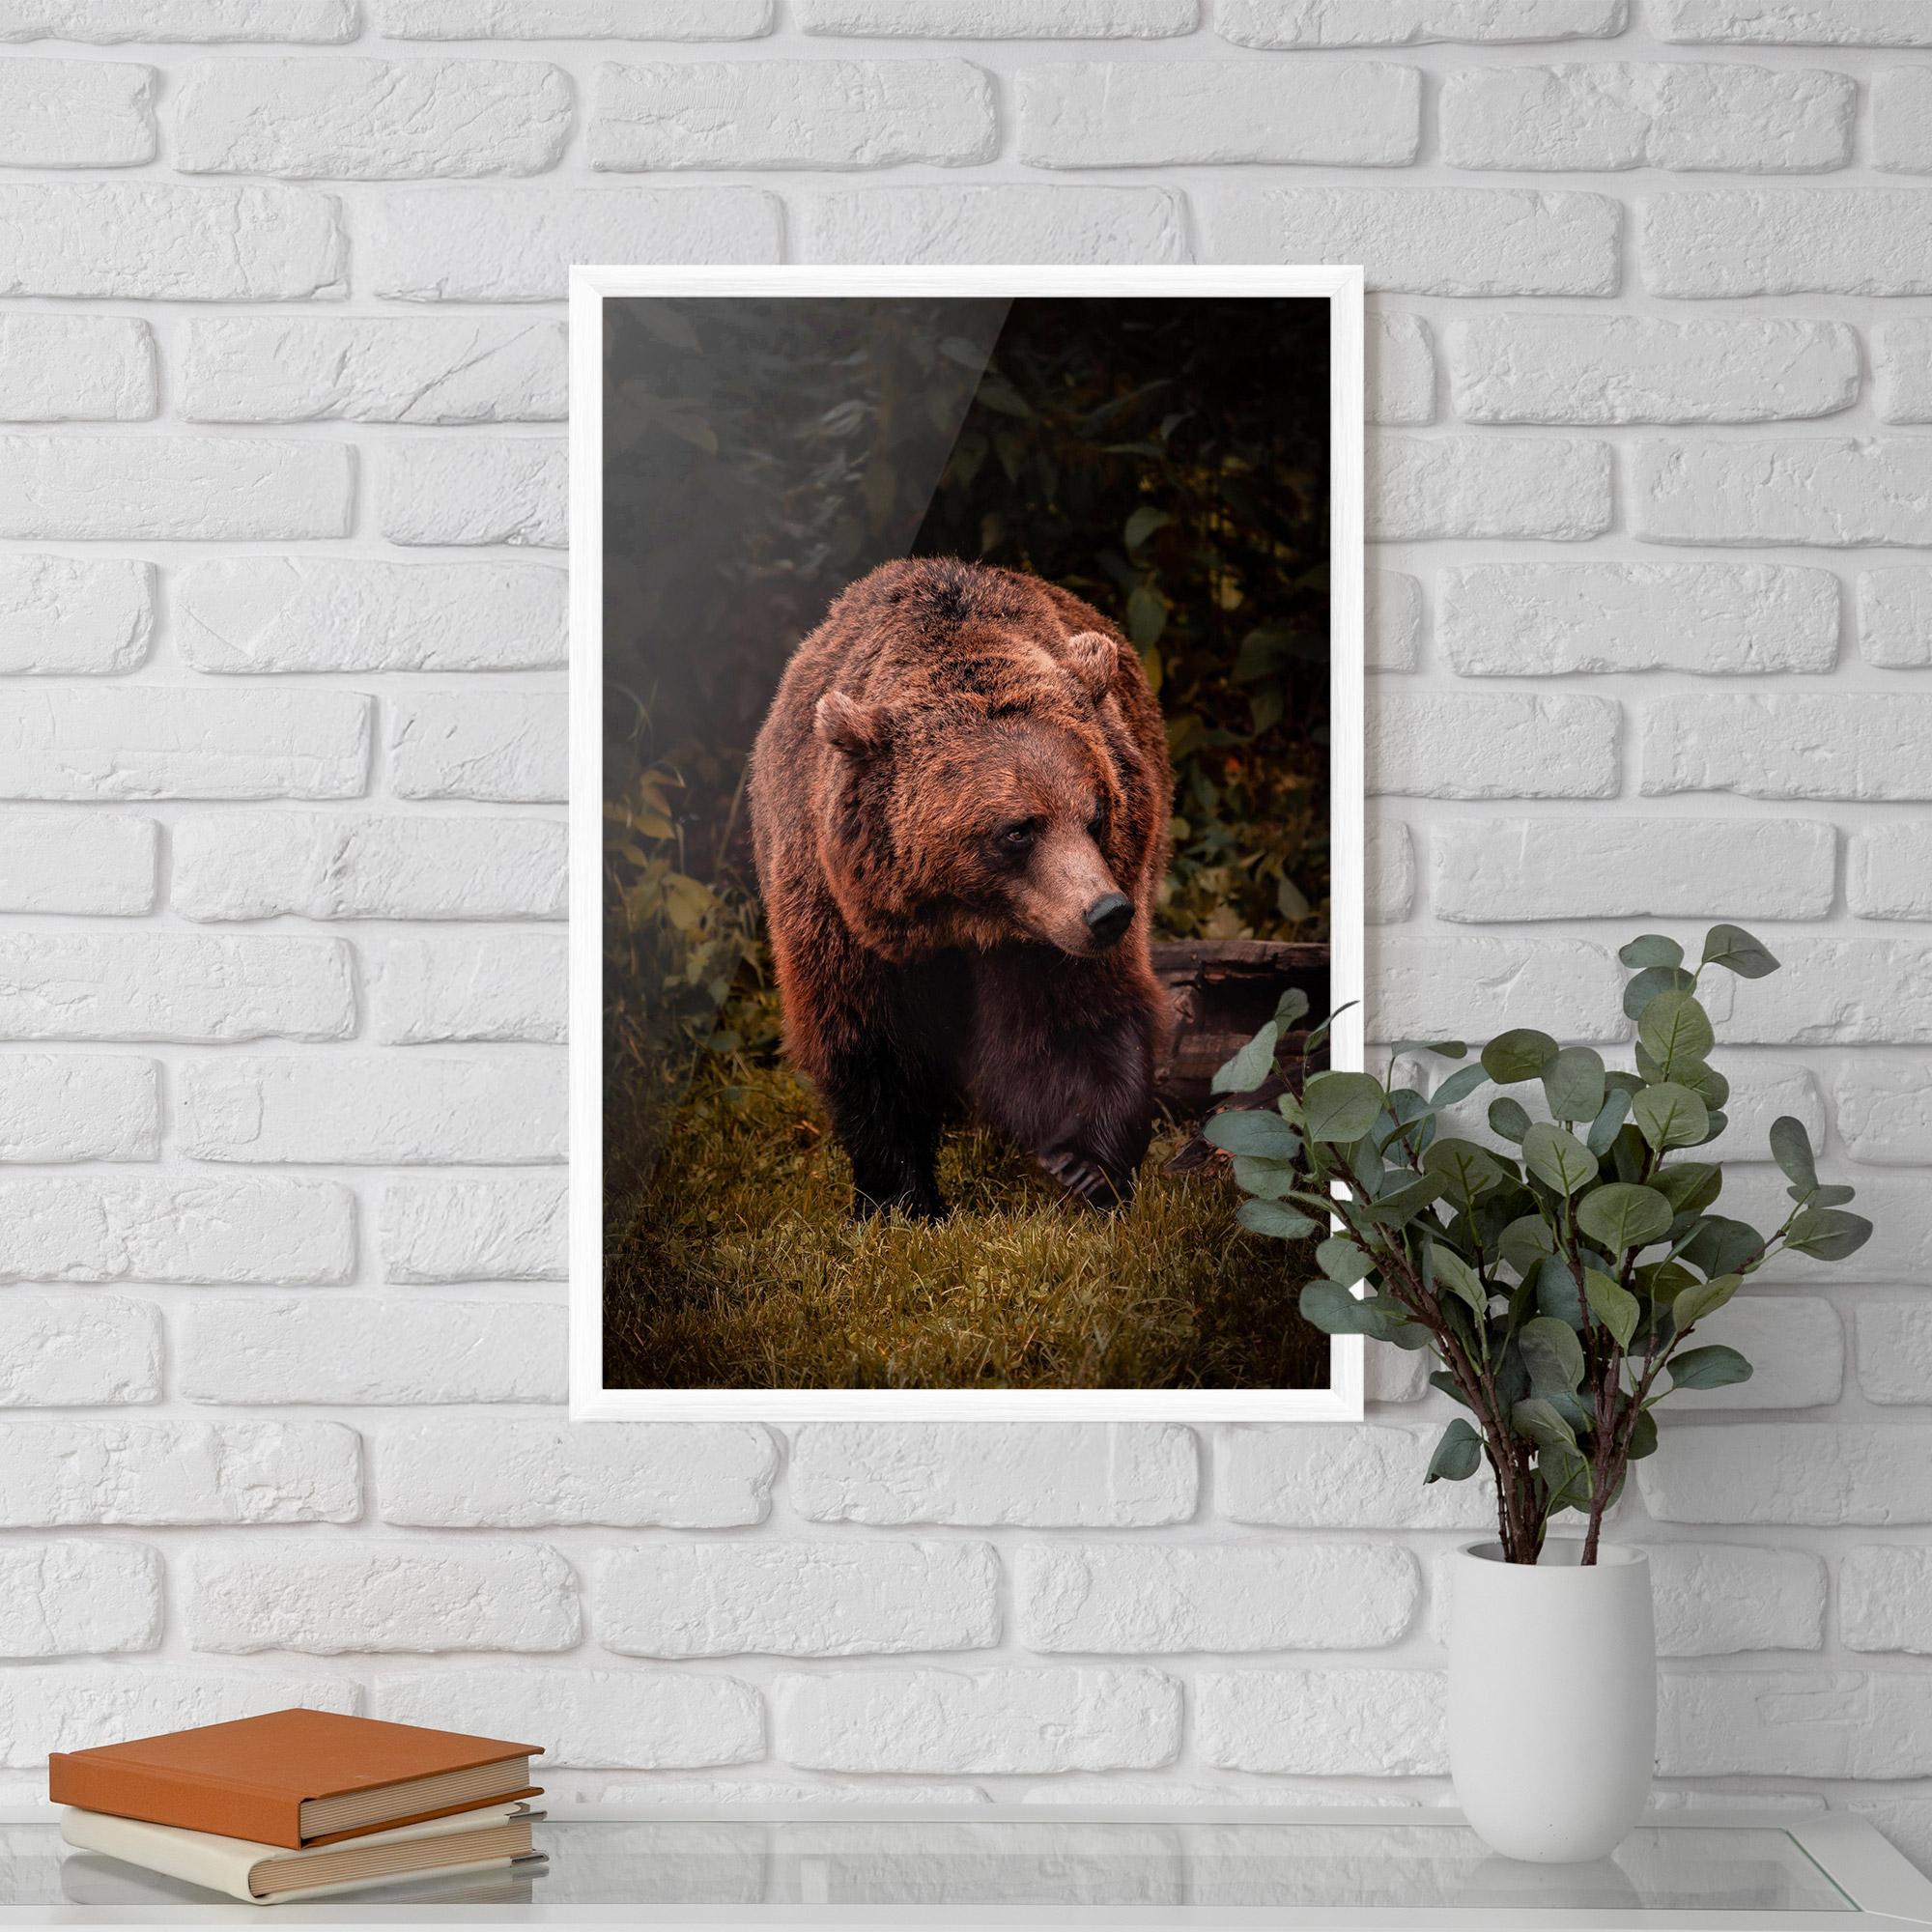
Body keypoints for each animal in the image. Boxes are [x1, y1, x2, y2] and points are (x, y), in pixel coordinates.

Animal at [748, 556, 1173, 1221]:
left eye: (1097, 813)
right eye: (1018, 830)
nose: (1107, 913)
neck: (962, 919)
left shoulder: (1048, 931)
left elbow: (1073, 1021)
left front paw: (1086, 1167)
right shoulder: (838, 914)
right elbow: (869, 1042)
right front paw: (902, 1198)